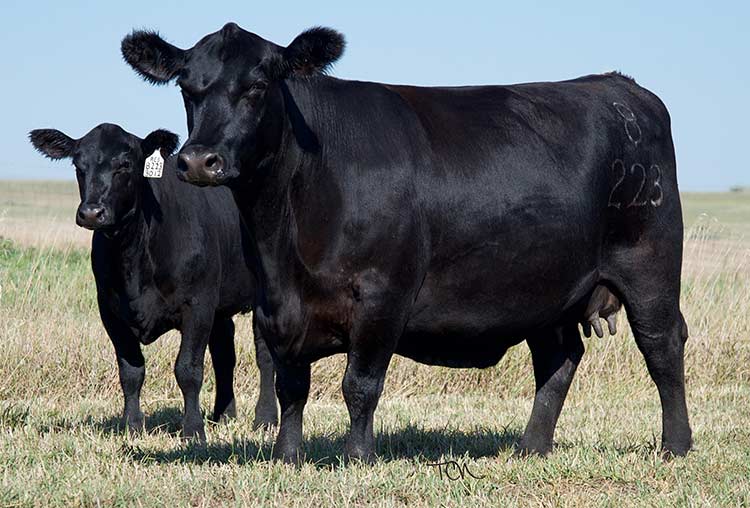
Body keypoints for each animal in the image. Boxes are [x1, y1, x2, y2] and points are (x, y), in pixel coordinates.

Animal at [28, 123, 278, 440]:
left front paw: (193, 430)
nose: (91, 213)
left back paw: (265, 419)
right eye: (78, 165)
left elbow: (188, 369)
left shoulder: (197, 305)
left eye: (125, 164)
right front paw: (132, 426)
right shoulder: (110, 311)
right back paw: (223, 415)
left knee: (264, 355)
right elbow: (131, 371)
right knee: (224, 354)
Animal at [121, 23, 691, 462]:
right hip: (544, 286)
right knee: (559, 357)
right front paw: (287, 455)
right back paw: (532, 448)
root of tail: (621, 88)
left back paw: (676, 445)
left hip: (650, 266)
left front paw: (357, 457)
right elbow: (291, 385)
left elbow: (359, 384)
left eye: (258, 86)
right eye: (187, 89)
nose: (199, 160)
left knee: (662, 345)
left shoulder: (383, 294)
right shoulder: (273, 305)